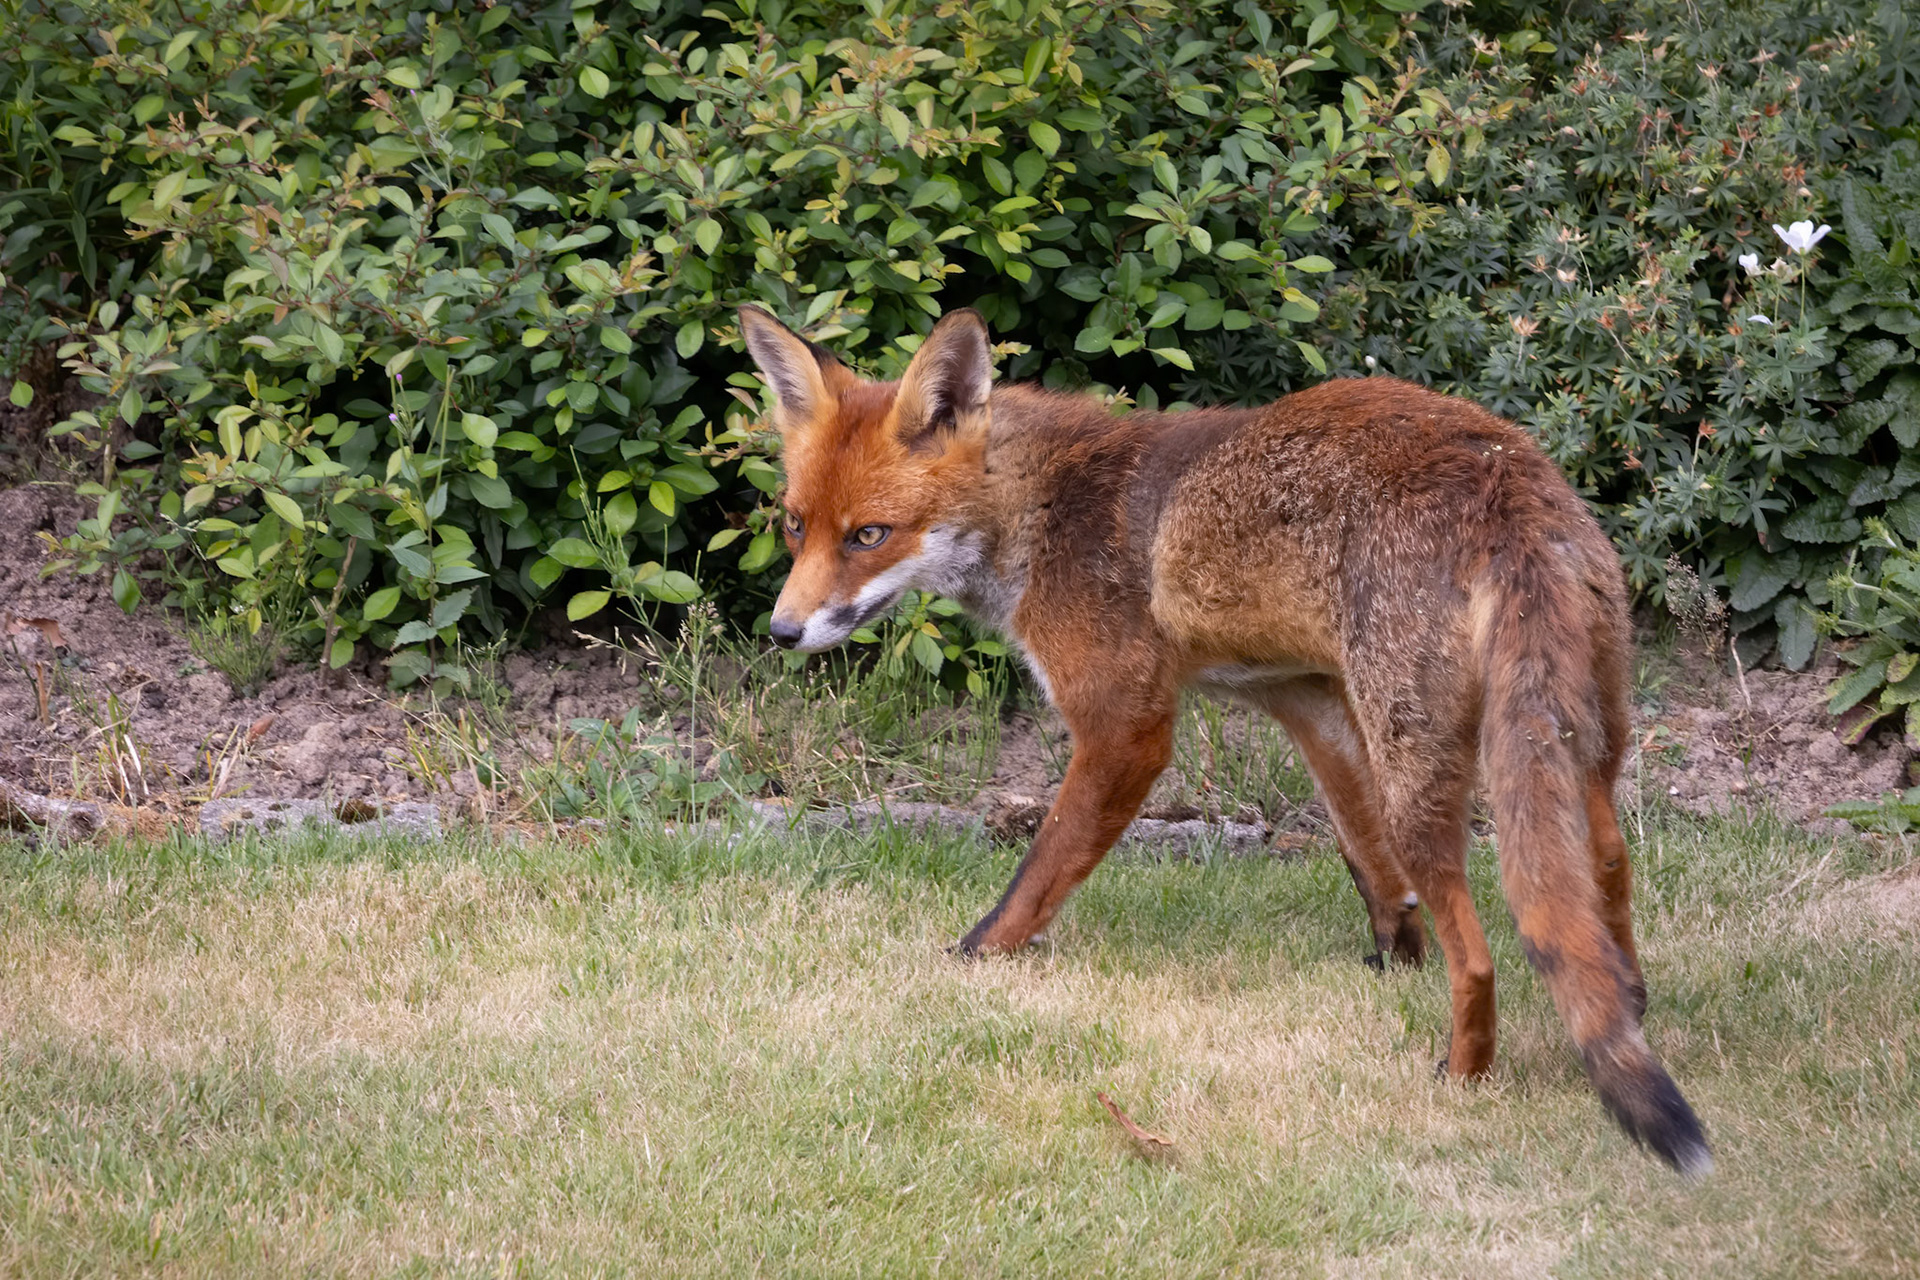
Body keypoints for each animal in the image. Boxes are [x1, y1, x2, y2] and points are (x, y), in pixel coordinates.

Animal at [738, 303, 1711, 1177]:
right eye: (795, 524)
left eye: (870, 535)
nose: (781, 633)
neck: (1041, 512)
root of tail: (1506, 475)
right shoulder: (1308, 699)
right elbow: (1363, 856)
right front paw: (1392, 954)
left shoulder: (1125, 726)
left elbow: (1038, 873)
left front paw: (972, 961)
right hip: (1575, 744)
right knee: (1605, 865)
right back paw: (1629, 1002)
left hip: (1427, 765)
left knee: (1478, 956)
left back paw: (1463, 1073)